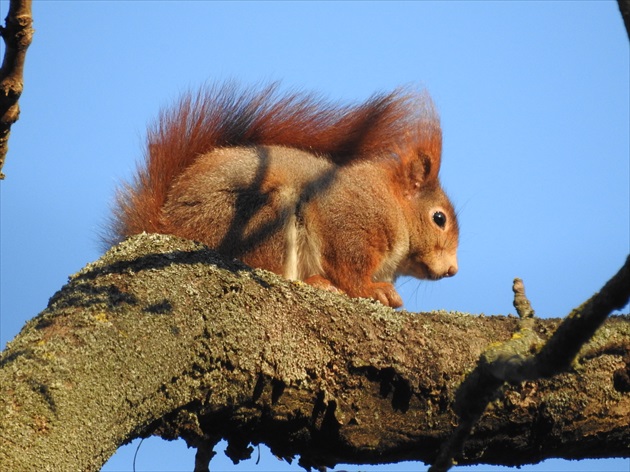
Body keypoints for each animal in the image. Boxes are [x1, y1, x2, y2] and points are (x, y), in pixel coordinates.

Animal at [107, 83, 460, 308]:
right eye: (438, 218)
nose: (453, 271)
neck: (393, 205)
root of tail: (167, 223)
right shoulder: (351, 222)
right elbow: (349, 267)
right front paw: (374, 291)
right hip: (261, 219)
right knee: (269, 270)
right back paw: (315, 283)